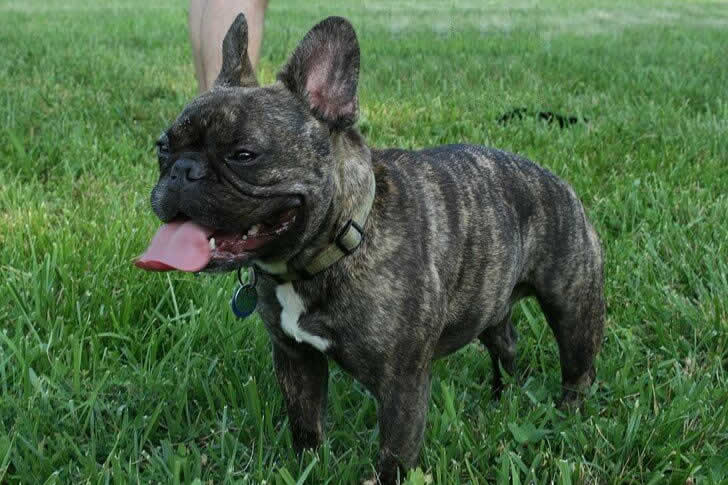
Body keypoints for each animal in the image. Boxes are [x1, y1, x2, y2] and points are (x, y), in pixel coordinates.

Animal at [135, 14, 605, 484]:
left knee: (577, 367)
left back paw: (567, 412)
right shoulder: (295, 357)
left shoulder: (402, 382)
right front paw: (306, 467)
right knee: (505, 342)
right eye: (163, 147)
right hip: (488, 303)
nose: (182, 170)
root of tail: (556, 180)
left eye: (244, 154)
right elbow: (306, 424)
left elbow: (395, 452)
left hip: (573, 306)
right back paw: (501, 396)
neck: (335, 247)